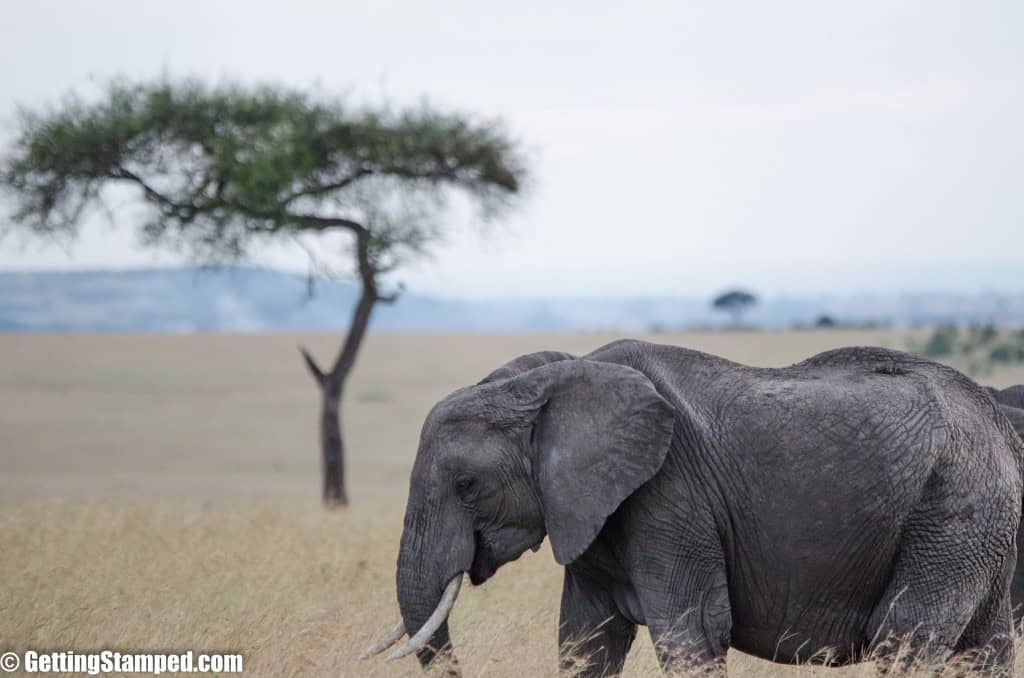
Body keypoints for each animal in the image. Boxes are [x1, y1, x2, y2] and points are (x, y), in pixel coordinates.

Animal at [364, 342, 1019, 675]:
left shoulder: (670, 498)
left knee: (903, 637)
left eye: (466, 485)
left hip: (955, 508)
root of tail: (995, 422)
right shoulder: (591, 510)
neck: (551, 379)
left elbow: (693, 632)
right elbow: (585, 639)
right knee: (983, 648)